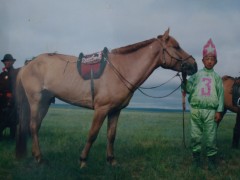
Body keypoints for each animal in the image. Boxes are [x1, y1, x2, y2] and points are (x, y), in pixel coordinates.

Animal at [15, 28, 198, 168]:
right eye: (176, 47)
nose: (194, 65)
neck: (122, 69)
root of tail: (28, 64)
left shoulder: (115, 111)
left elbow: (111, 135)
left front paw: (111, 160)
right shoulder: (101, 109)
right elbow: (93, 134)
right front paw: (83, 160)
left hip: (45, 102)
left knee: (36, 127)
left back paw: (37, 155)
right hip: (36, 101)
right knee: (33, 126)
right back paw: (39, 158)